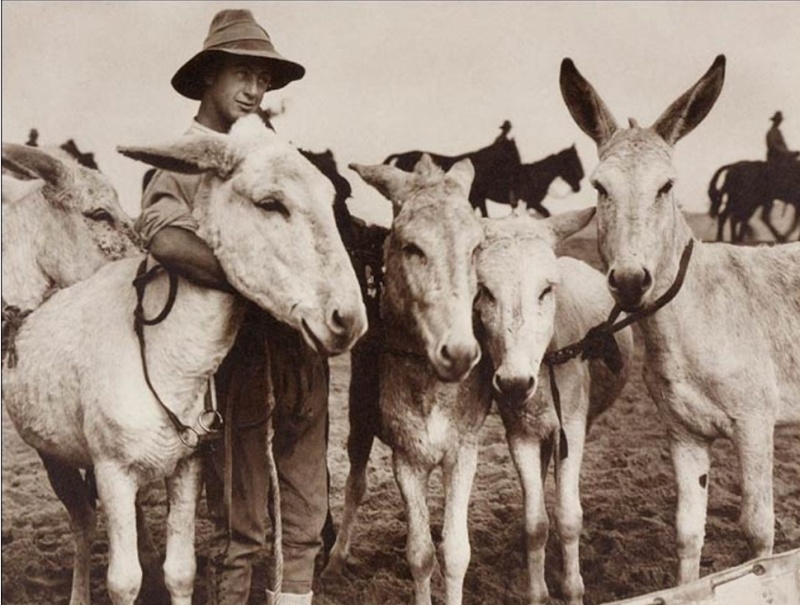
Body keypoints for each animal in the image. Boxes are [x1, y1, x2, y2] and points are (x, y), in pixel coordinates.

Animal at [560, 55, 800, 584]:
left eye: (666, 186)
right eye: (599, 187)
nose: (631, 281)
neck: (694, 317)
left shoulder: (756, 424)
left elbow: (759, 533)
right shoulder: (684, 433)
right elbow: (688, 532)